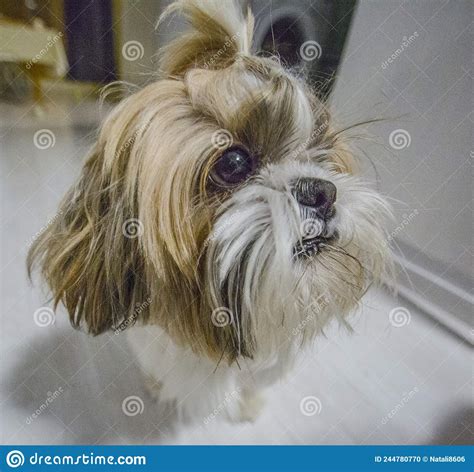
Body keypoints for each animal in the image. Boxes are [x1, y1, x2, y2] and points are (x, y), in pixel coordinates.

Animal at [28, 0, 392, 424]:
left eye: (323, 156)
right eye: (233, 162)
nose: (320, 191)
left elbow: (254, 384)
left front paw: (249, 405)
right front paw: (156, 387)